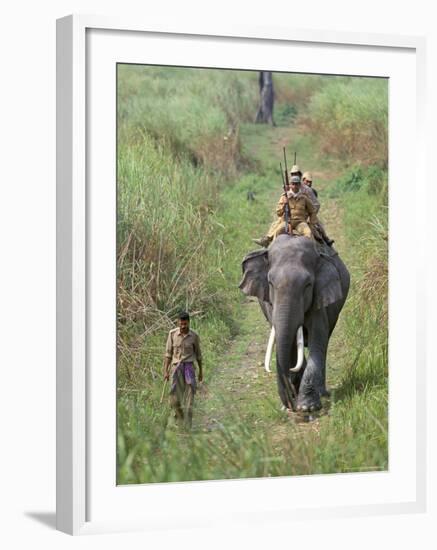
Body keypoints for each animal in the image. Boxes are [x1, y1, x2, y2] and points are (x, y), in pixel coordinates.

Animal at [237, 236, 350, 414]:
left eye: (308, 285)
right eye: (270, 283)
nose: (290, 404)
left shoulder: (319, 300)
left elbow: (318, 339)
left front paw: (307, 407)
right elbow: (289, 346)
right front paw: (292, 402)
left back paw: (321, 393)